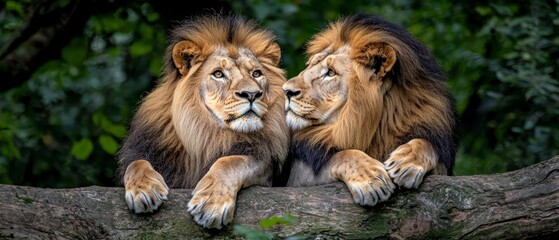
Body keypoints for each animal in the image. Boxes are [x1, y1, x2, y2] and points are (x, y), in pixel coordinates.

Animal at [118, 13, 294, 229]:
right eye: (218, 74)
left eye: (256, 73)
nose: (252, 94)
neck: (206, 132)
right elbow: (136, 163)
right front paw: (144, 189)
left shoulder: (263, 162)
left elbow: (229, 162)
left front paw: (211, 204)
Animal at [278, 13, 462, 206]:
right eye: (310, 65)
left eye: (330, 72)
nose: (286, 90)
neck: (377, 127)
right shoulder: (298, 176)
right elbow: (341, 155)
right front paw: (371, 179)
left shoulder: (442, 167)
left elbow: (427, 145)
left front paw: (406, 161)